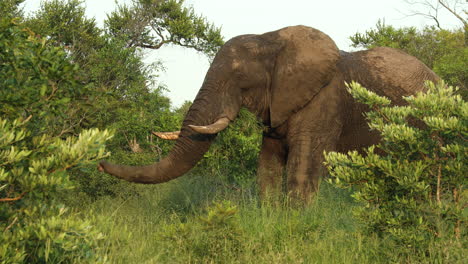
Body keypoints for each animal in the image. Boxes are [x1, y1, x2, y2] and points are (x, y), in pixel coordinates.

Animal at [98, 25, 438, 202]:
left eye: (239, 78)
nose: (100, 163)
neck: (272, 39)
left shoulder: (326, 102)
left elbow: (303, 169)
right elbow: (268, 167)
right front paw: (270, 217)